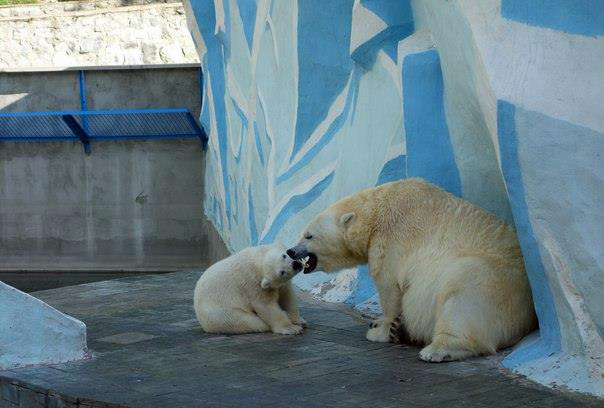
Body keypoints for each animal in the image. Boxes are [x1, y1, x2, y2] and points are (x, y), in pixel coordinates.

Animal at [290, 178, 536, 360]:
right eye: (303, 233)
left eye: (308, 235)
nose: (292, 251)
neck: (375, 214)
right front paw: (378, 321)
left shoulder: (392, 241)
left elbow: (390, 288)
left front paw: (381, 330)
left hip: (490, 279)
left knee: (461, 298)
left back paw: (435, 349)